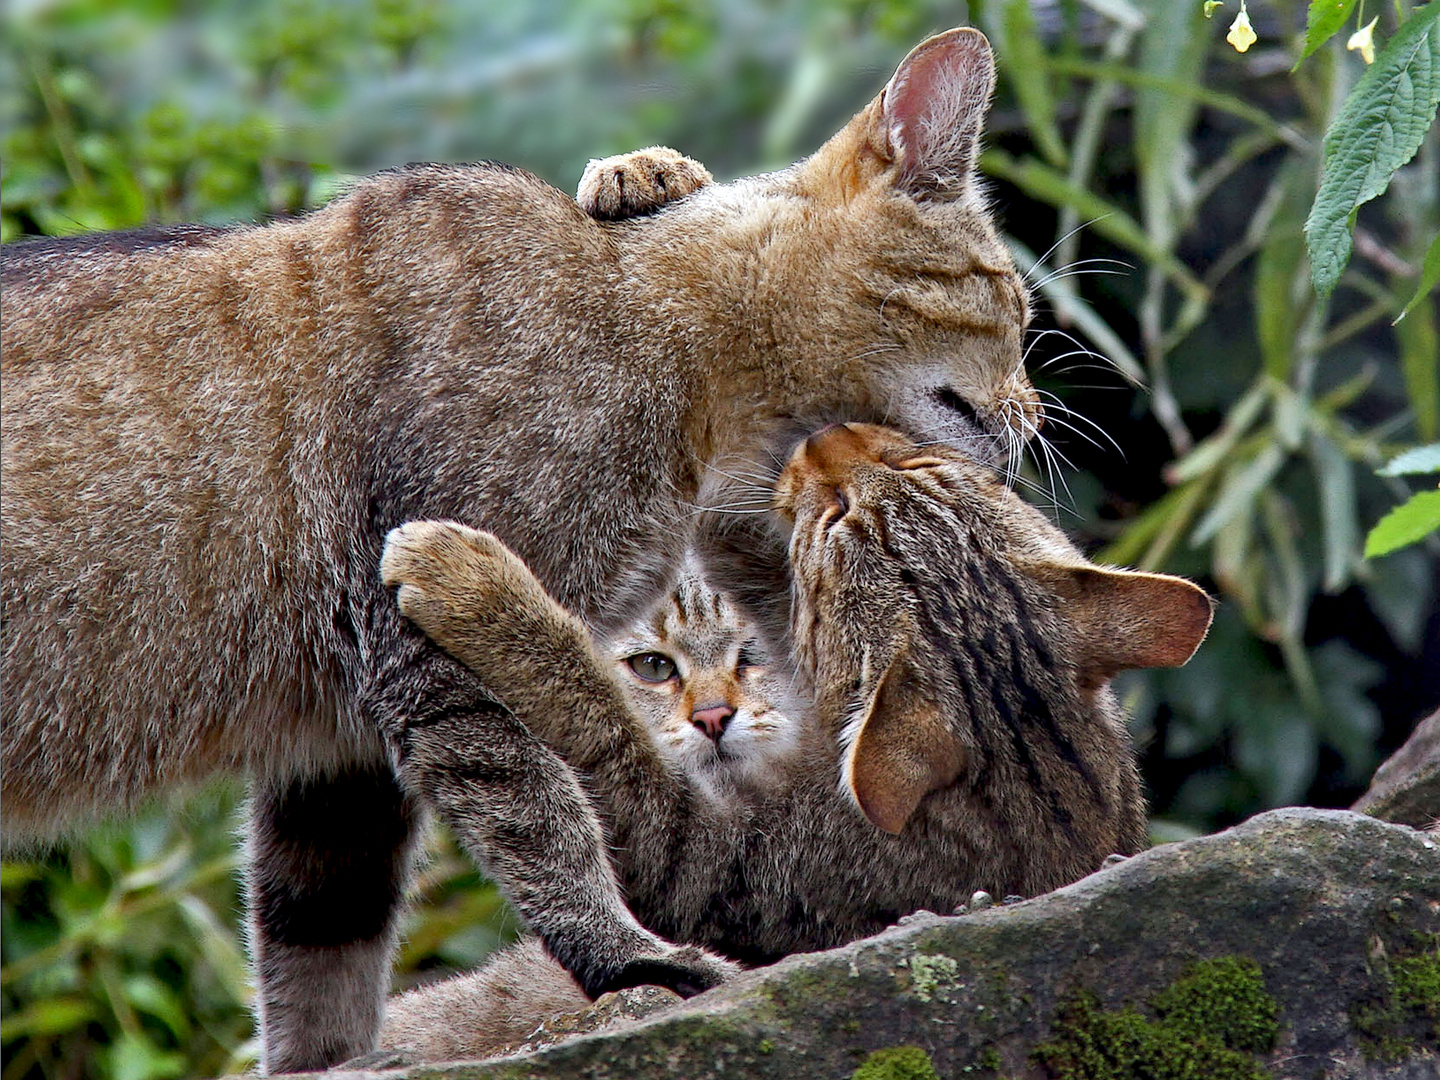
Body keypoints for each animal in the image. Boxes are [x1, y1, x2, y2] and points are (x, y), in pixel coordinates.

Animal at [0, 25, 1036, 1077]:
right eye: (1016, 301)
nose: (1038, 417)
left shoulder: (339, 751)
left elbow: (319, 959)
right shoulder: (428, 659)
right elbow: (542, 818)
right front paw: (626, 954)